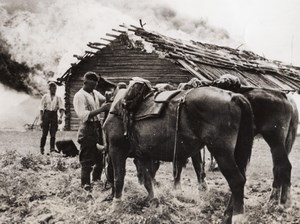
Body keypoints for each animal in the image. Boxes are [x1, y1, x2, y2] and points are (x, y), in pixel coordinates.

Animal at [102, 79, 254, 223]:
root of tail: (232, 96)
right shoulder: (142, 155)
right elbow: (147, 180)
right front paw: (155, 204)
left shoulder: (116, 150)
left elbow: (119, 178)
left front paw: (115, 207)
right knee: (241, 180)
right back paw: (228, 214)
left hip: (221, 153)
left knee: (236, 181)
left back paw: (237, 217)